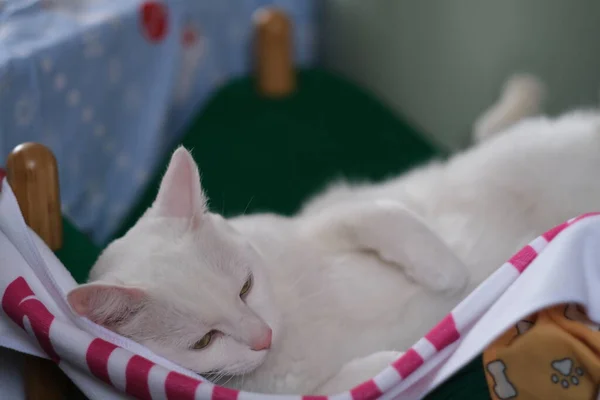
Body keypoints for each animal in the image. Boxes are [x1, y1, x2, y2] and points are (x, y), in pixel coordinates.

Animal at [64, 75, 600, 394]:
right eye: (204, 340)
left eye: (245, 286)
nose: (262, 336)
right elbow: (339, 387)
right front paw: (399, 360)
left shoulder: (325, 210)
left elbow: (369, 213)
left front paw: (445, 269)